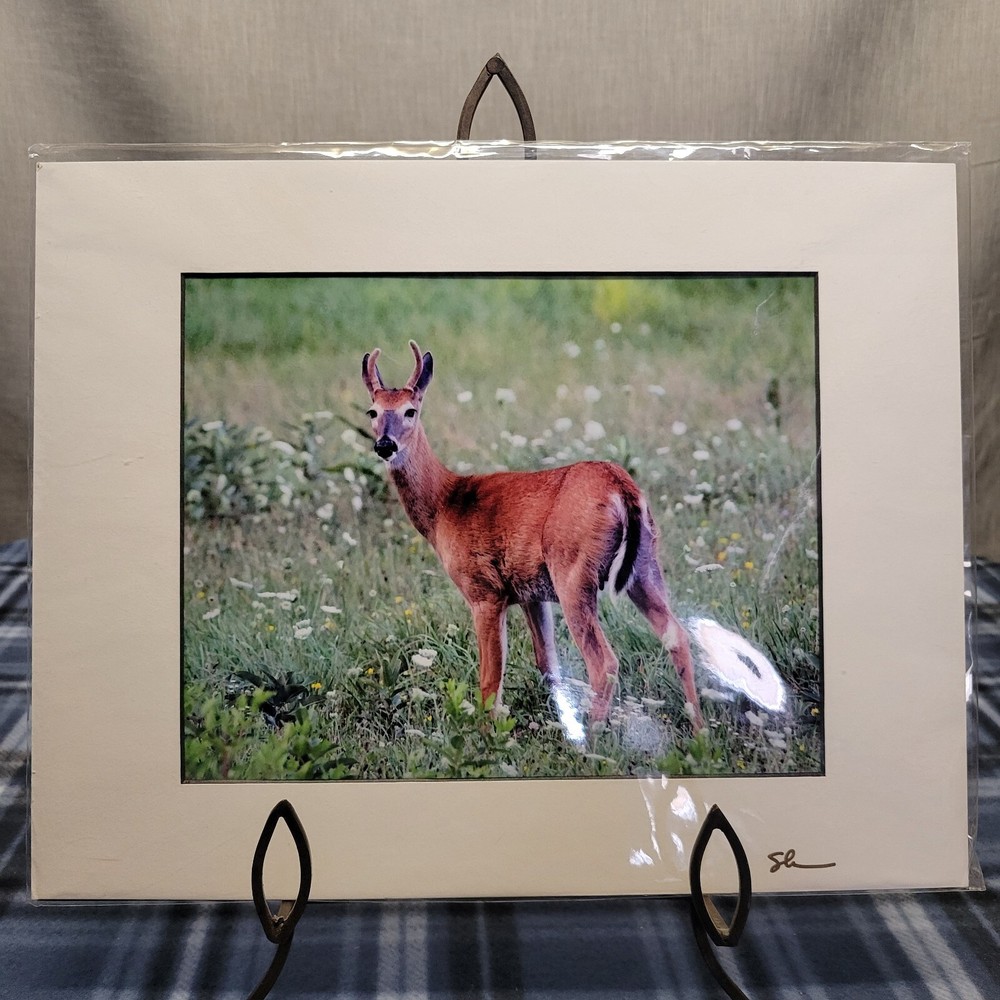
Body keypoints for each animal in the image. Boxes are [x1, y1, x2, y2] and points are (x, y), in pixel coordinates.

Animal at [361, 341, 704, 731]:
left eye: (410, 411)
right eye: (372, 411)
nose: (385, 445)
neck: (445, 506)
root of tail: (622, 485)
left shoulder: (484, 591)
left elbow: (489, 678)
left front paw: (488, 734)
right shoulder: (531, 594)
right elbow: (547, 664)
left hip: (574, 573)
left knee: (604, 661)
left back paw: (594, 735)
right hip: (645, 567)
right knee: (677, 636)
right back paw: (699, 729)